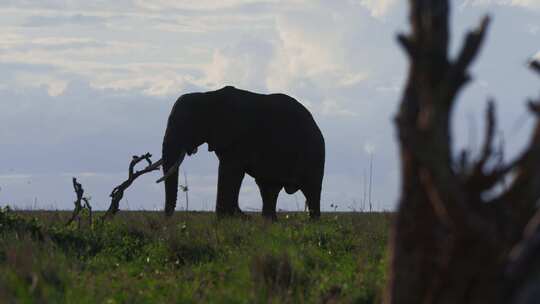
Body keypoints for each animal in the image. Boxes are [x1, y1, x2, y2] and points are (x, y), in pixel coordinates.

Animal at [158, 85, 322, 218]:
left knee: (311, 189)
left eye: (187, 124)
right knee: (268, 188)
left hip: (313, 153)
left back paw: (312, 222)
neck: (208, 96)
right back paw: (269, 222)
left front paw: (225, 219)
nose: (168, 219)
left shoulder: (238, 137)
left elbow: (231, 171)